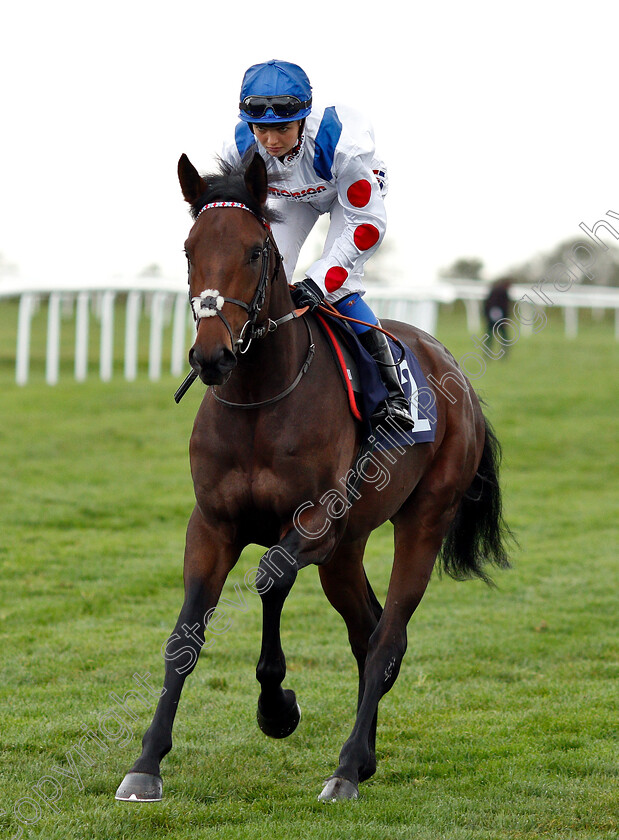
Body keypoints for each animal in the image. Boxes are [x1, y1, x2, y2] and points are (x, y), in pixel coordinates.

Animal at [116, 154, 512, 804]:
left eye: (256, 251)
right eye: (189, 248)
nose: (211, 357)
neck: (261, 399)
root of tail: (452, 365)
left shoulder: (314, 524)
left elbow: (269, 578)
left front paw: (277, 707)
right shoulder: (213, 526)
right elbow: (185, 636)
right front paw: (146, 762)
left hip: (423, 519)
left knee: (387, 636)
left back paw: (347, 768)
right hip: (347, 548)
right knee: (367, 631)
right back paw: (365, 757)